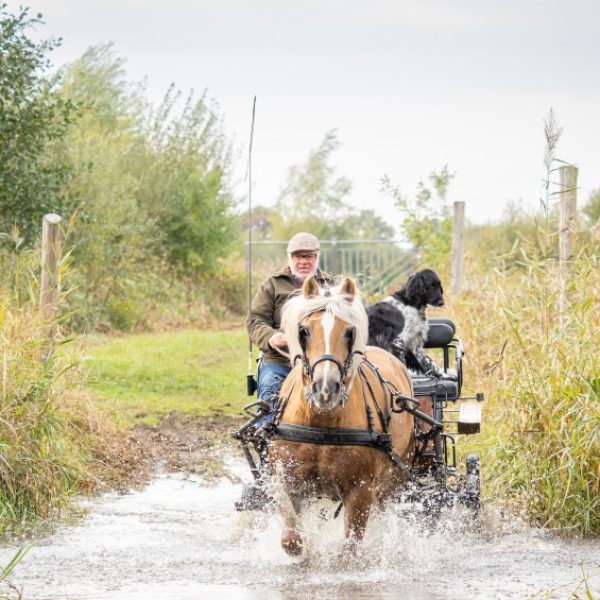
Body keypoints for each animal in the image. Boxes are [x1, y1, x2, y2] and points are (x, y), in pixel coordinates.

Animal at [268, 274, 418, 556]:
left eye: (349, 332)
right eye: (304, 331)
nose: (325, 388)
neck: (322, 423)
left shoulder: (360, 491)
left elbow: (349, 549)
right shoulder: (287, 481)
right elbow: (292, 540)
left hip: (394, 478)